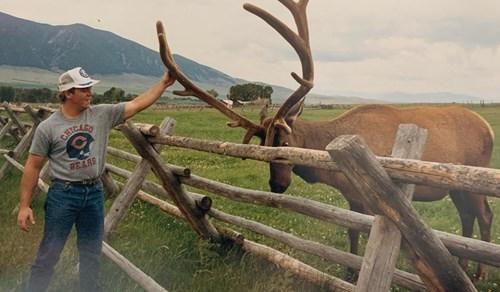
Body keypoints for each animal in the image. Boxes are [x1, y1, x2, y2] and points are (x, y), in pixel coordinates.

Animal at [156, 0, 492, 278]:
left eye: (286, 144)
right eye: (263, 147)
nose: (277, 186)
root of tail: (488, 126)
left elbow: (363, 235)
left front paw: (356, 271)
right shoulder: (353, 198)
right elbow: (352, 233)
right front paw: (349, 270)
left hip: (473, 177)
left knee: (484, 215)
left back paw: (479, 272)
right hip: (455, 188)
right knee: (467, 217)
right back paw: (464, 267)